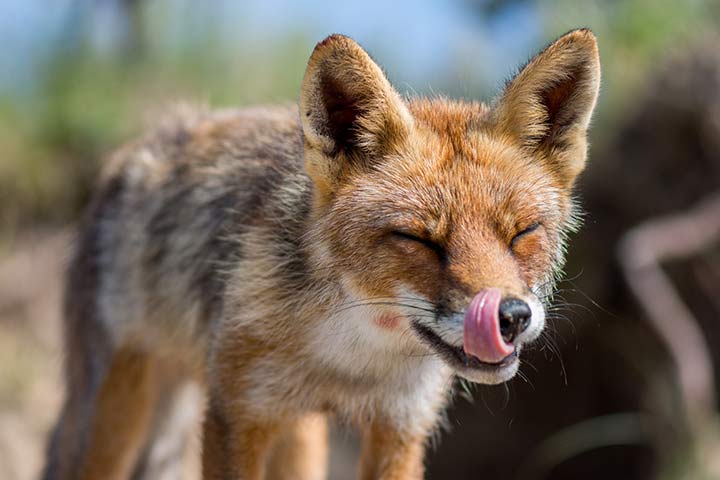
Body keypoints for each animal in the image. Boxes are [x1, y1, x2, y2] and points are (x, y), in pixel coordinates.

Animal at [42, 29, 600, 480]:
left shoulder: (400, 427)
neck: (349, 359)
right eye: (419, 239)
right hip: (114, 423)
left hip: (296, 434)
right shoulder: (236, 417)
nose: (510, 317)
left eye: (522, 234)